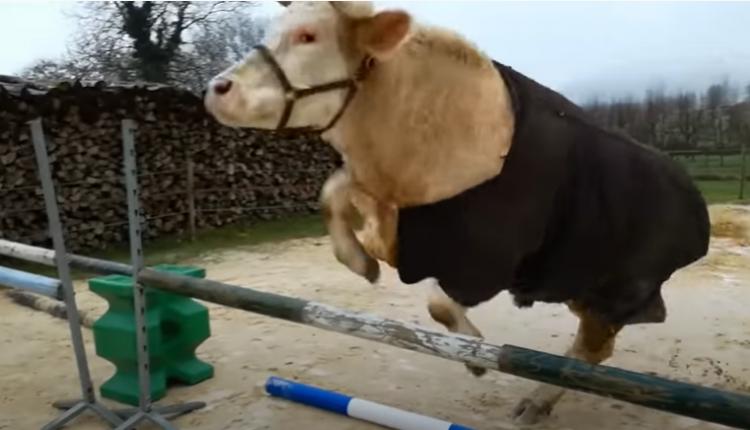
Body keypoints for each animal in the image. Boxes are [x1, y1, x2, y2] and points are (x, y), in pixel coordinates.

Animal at [203, 1, 711, 424]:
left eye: (308, 36)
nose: (216, 88)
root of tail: (693, 200)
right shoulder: (386, 207)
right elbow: (335, 193)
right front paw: (361, 263)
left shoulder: (483, 262)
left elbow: (439, 303)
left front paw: (474, 355)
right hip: (582, 286)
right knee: (601, 347)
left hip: (616, 288)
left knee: (591, 349)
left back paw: (534, 404)